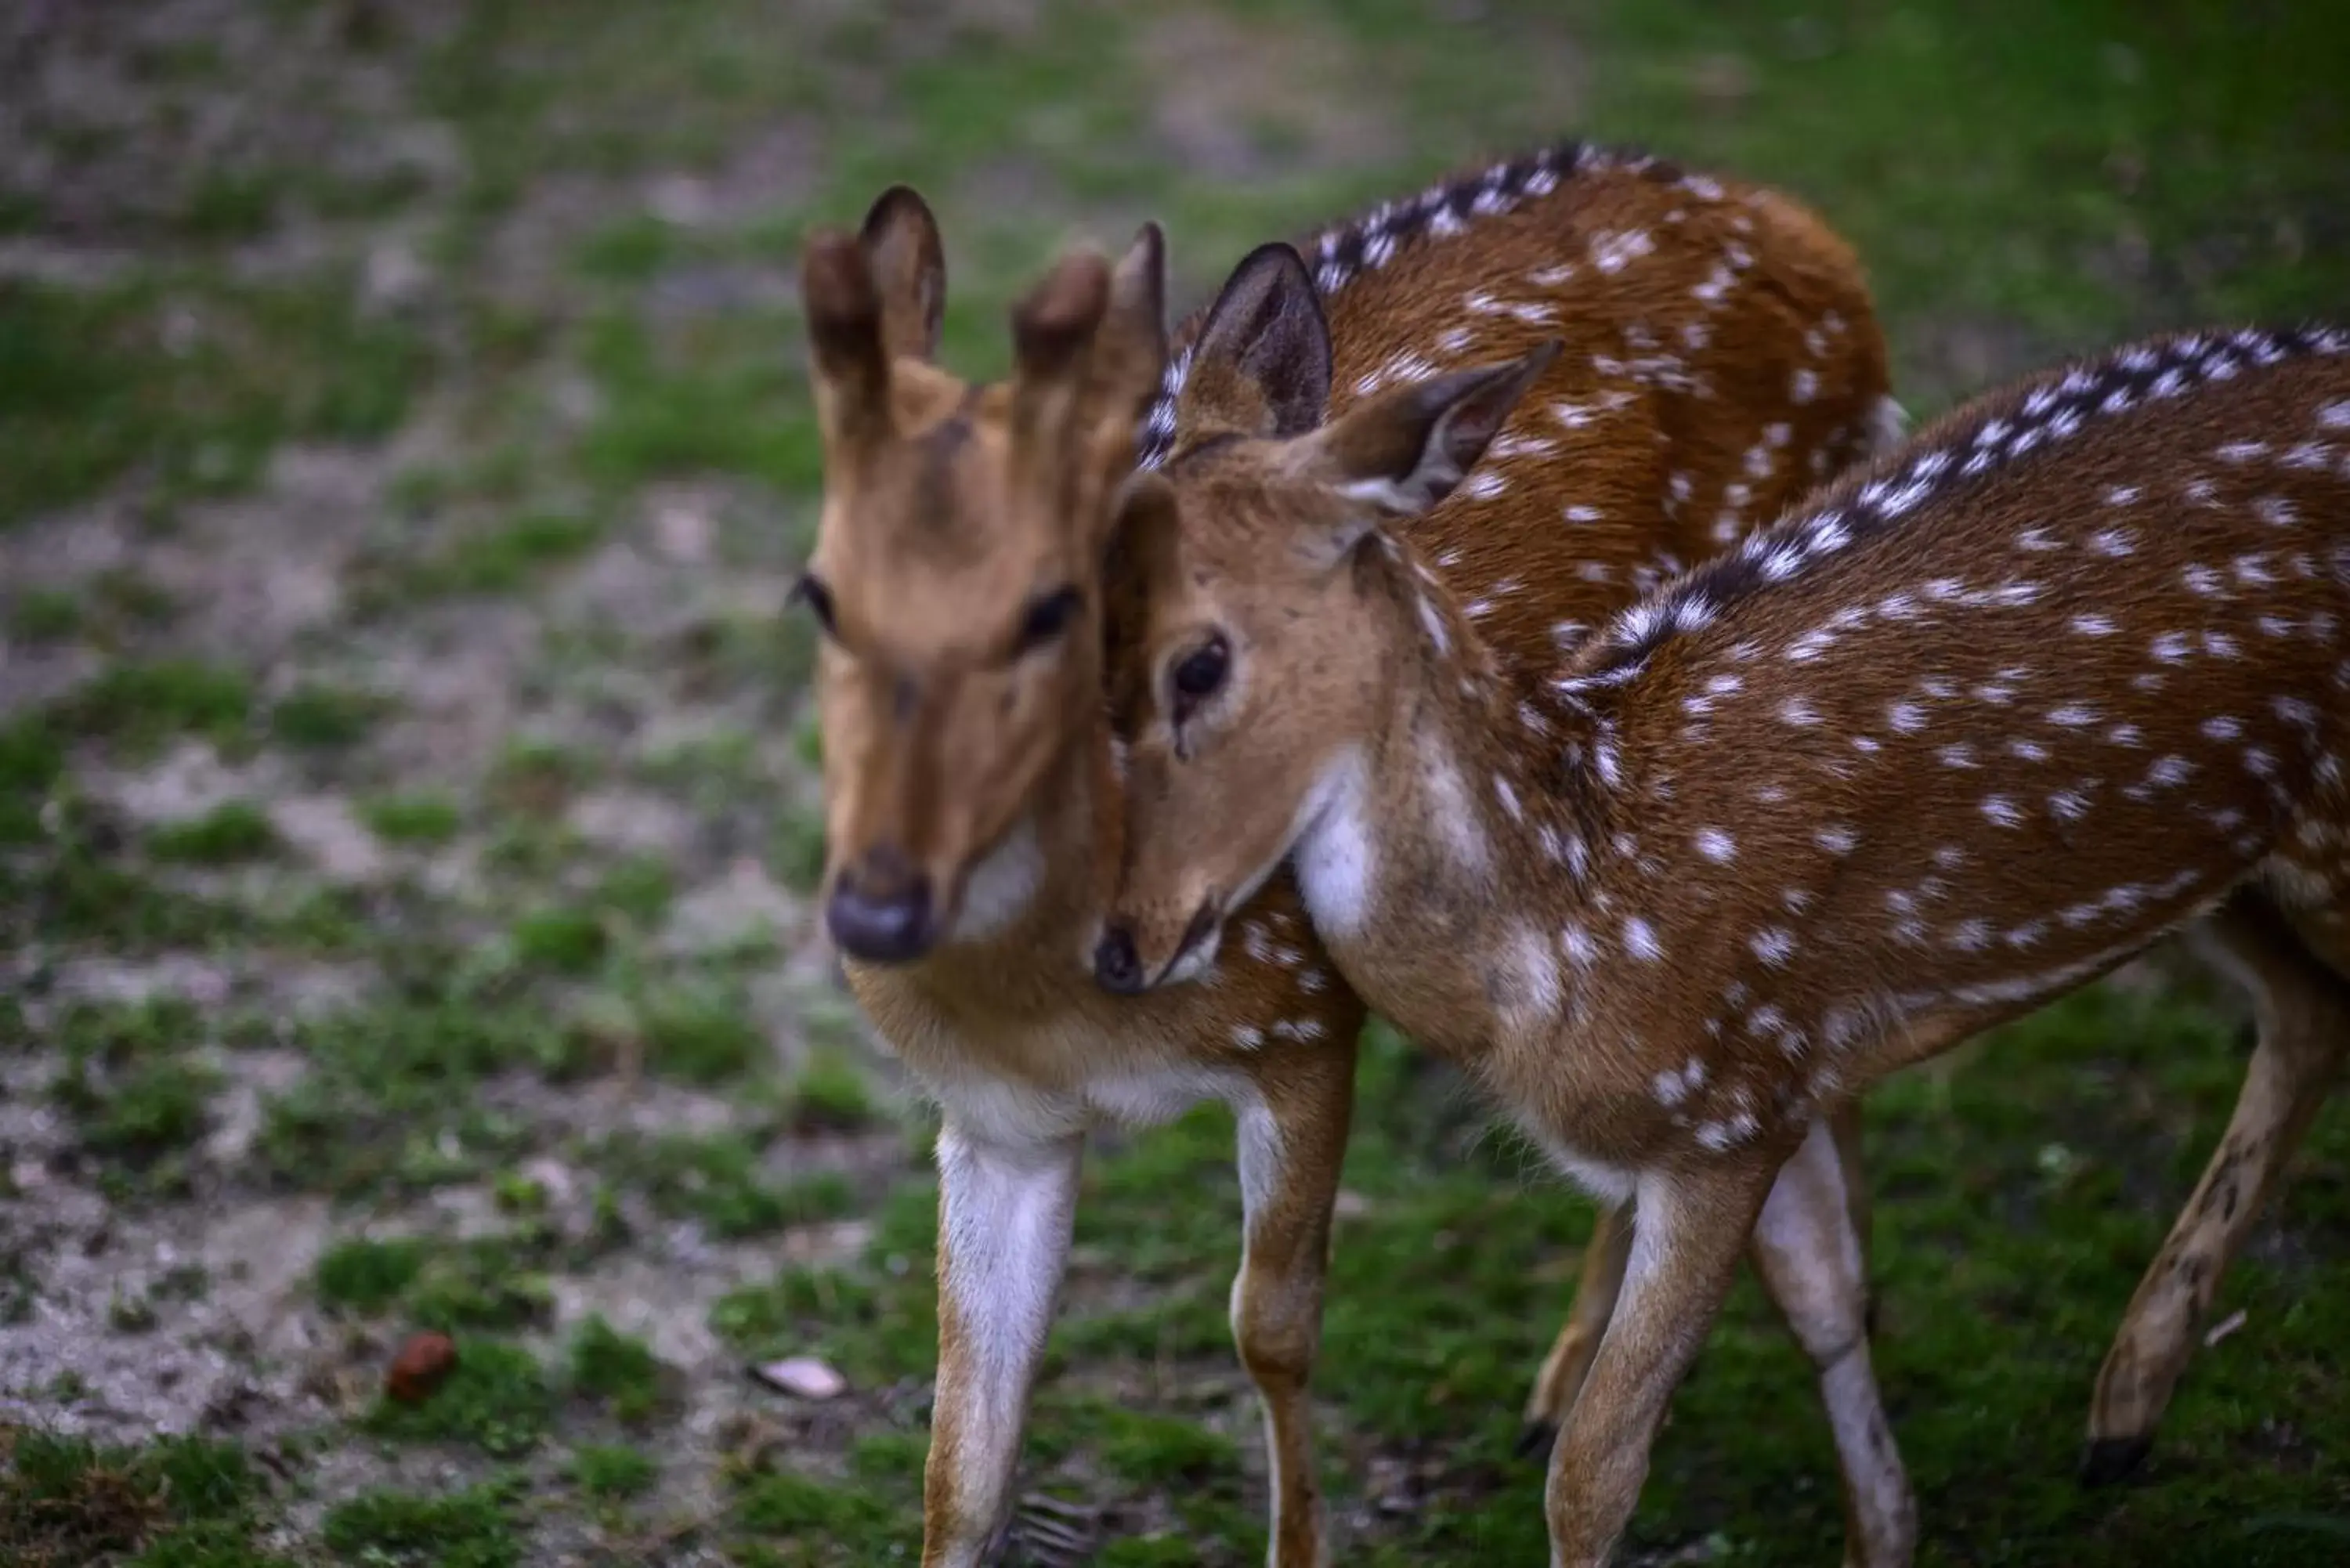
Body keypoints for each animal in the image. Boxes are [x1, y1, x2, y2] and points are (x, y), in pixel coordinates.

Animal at [799, 141, 1899, 1560]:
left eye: (1055, 604)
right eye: (819, 591)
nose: (877, 912)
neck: (1059, 1012)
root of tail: (1809, 233)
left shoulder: (1302, 1018)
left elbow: (1272, 1328)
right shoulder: (991, 1117)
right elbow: (961, 1448)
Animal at [1090, 315, 2350, 1560]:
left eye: (1199, 661)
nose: (1117, 948)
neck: (1575, 919)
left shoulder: (1722, 1108)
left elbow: (1597, 1468)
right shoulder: (1773, 1077)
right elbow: (1829, 1302)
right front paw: (1887, 1533)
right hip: (2225, 850)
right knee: (2303, 1007)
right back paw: (2122, 1411)